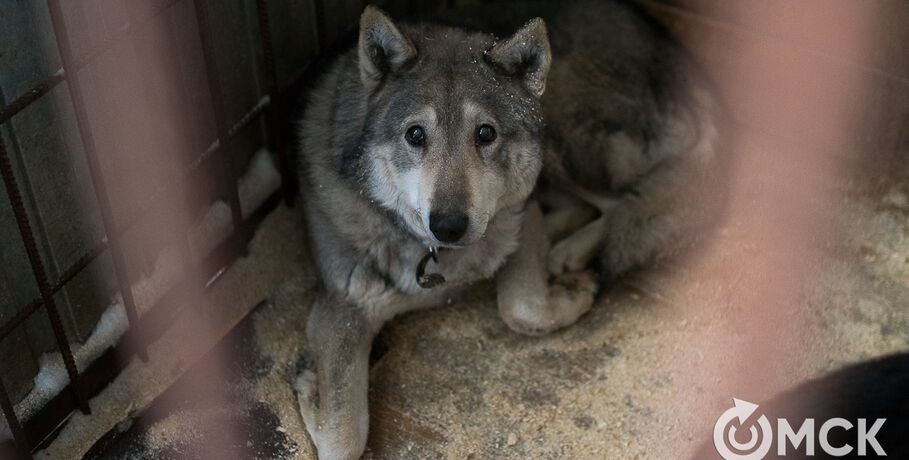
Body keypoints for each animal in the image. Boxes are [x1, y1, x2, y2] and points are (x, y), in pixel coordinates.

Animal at [294, 1, 720, 458]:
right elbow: (341, 440)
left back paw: (570, 252)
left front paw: (574, 292)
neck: (438, 258)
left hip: (563, 136)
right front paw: (310, 392)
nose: (448, 226)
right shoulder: (341, 310)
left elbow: (522, 309)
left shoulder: (521, 218)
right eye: (414, 134)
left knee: (632, 200)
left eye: (486, 133)